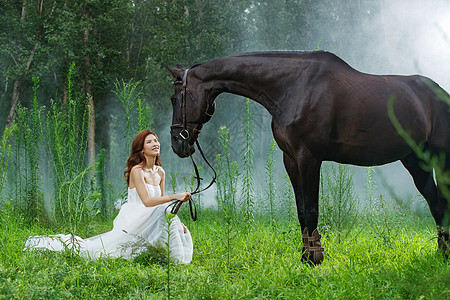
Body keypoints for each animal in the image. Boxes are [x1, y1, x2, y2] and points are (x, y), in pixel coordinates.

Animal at [167, 51, 450, 264]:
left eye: (175, 98)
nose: (177, 144)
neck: (293, 87)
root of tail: (441, 94)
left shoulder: (309, 158)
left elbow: (312, 208)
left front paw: (315, 258)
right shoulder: (290, 159)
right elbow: (302, 209)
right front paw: (305, 256)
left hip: (440, 159)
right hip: (415, 161)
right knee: (436, 204)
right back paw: (442, 253)